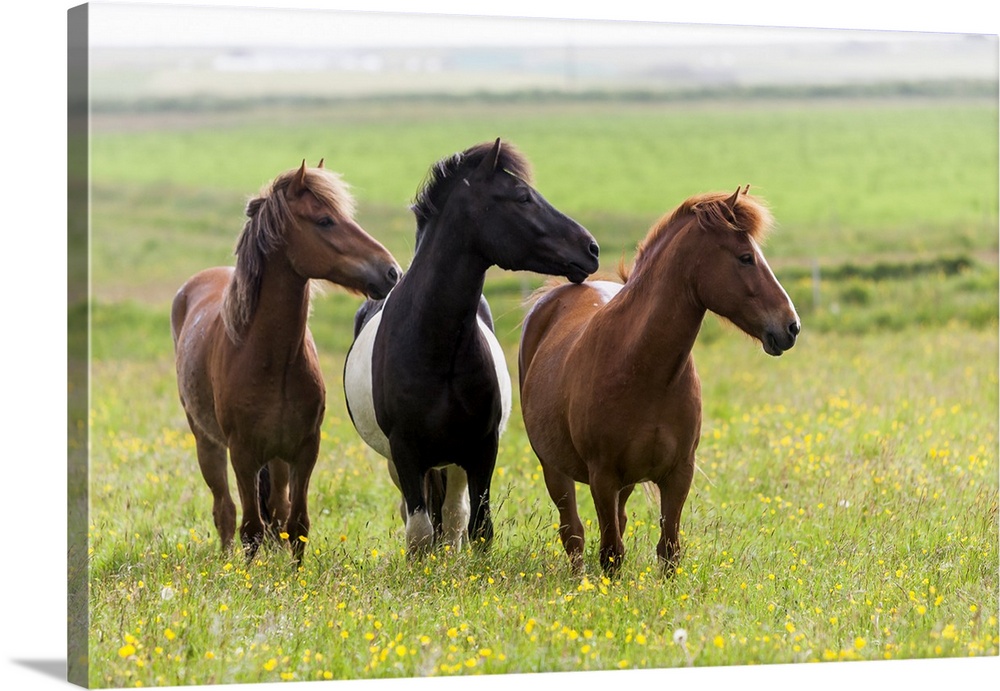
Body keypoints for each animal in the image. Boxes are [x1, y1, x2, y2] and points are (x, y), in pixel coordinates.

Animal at [173, 161, 402, 564]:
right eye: (325, 220)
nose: (391, 271)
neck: (270, 360)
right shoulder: (243, 455)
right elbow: (251, 528)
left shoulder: (305, 450)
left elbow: (296, 525)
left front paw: (292, 574)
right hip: (207, 443)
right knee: (225, 510)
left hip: (277, 459)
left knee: (277, 509)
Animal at [344, 139, 596, 556]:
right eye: (522, 196)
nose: (591, 249)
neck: (434, 348)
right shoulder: (406, 452)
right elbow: (419, 532)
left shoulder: (481, 449)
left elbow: (479, 528)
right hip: (407, 463)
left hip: (455, 462)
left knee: (454, 516)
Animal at [520, 187, 800, 576]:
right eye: (745, 258)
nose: (791, 326)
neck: (642, 368)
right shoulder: (603, 476)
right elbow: (611, 553)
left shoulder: (678, 473)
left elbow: (668, 549)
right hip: (554, 469)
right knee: (572, 533)